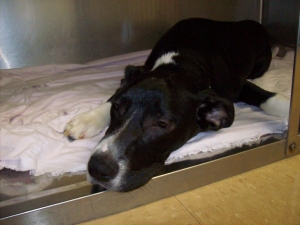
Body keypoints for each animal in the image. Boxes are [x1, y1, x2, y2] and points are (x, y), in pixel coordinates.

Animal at [63, 18, 290, 192]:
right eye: (117, 108)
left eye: (162, 124)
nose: (97, 168)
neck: (181, 63)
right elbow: (112, 95)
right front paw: (87, 120)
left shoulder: (236, 85)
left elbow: (262, 95)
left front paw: (287, 105)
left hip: (261, 65)